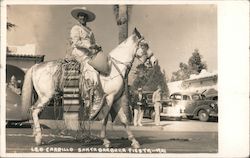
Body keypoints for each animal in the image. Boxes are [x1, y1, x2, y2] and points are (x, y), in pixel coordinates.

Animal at [22, 28, 158, 148]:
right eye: (145, 45)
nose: (155, 61)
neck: (113, 68)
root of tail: (36, 66)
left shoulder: (117, 100)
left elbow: (124, 120)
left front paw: (134, 141)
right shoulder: (109, 98)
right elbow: (104, 118)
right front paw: (106, 141)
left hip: (43, 97)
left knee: (34, 111)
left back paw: (36, 134)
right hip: (46, 96)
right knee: (34, 111)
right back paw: (38, 138)